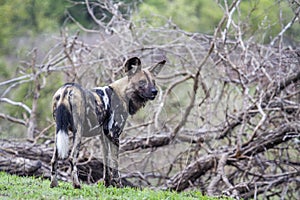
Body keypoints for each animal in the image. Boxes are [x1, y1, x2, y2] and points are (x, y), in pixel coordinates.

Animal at [50, 57, 165, 188]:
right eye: (142, 82)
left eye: (153, 82)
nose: (155, 91)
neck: (123, 94)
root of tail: (67, 89)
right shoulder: (114, 135)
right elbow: (115, 165)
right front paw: (119, 185)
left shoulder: (103, 136)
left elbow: (106, 163)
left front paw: (107, 183)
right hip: (77, 133)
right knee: (71, 158)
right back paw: (77, 185)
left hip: (59, 131)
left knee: (54, 159)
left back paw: (54, 184)